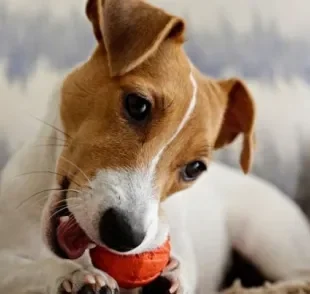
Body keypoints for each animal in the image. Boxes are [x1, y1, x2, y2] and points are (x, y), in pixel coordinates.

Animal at [1, 0, 310, 294]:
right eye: (137, 105)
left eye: (194, 168)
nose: (125, 236)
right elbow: (27, 268)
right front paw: (73, 275)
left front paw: (172, 275)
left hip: (267, 239)